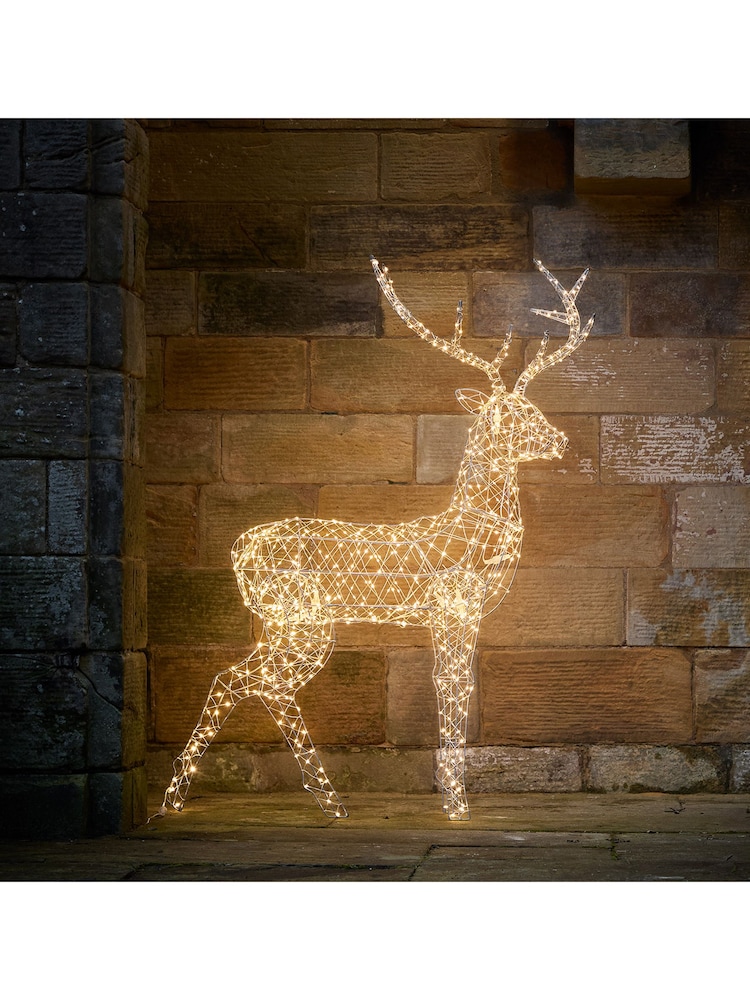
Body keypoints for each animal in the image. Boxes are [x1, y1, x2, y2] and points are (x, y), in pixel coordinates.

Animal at [158, 257, 594, 822]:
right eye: (505, 415)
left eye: (533, 407)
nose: (560, 439)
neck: (472, 528)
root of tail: (237, 550)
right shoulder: (454, 606)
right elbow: (452, 689)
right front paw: (457, 805)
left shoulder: (457, 614)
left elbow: (456, 689)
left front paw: (453, 798)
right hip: (300, 618)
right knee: (247, 682)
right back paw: (196, 799)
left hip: (285, 622)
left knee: (250, 683)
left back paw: (313, 800)